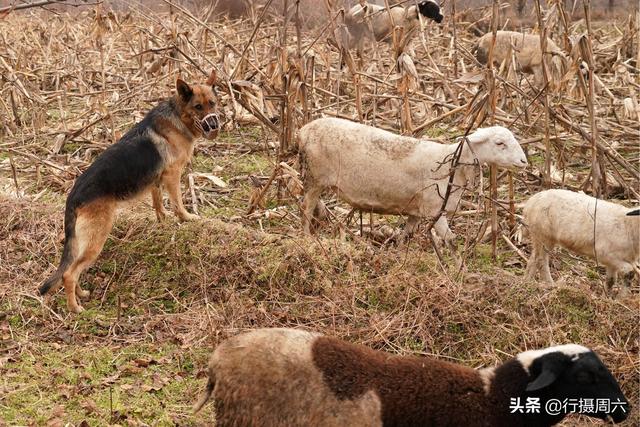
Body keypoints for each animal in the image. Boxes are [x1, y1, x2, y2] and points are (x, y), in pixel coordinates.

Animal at [40, 71, 221, 314]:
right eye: (198, 107)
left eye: (212, 103)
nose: (214, 123)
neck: (178, 116)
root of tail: (73, 195)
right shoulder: (173, 175)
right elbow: (177, 202)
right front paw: (186, 217)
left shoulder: (156, 180)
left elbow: (158, 203)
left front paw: (162, 221)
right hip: (97, 238)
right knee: (69, 273)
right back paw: (75, 308)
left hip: (84, 241)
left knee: (72, 270)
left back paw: (81, 294)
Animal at [298, 118, 528, 249]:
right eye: (499, 143)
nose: (524, 161)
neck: (452, 164)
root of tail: (304, 129)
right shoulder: (435, 209)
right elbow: (451, 240)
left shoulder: (416, 211)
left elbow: (406, 236)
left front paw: (399, 253)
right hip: (314, 177)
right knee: (305, 207)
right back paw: (306, 237)